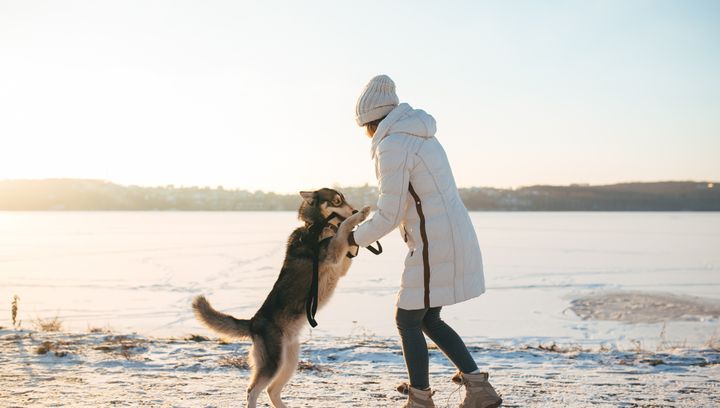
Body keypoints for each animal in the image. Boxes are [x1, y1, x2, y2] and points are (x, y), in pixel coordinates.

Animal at [191, 189, 368, 408]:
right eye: (336, 201)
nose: (354, 209)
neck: (316, 226)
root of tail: (253, 323)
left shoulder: (340, 264)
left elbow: (348, 245)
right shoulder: (332, 253)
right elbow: (344, 227)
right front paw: (360, 216)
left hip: (289, 361)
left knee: (271, 390)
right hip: (272, 363)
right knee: (252, 391)